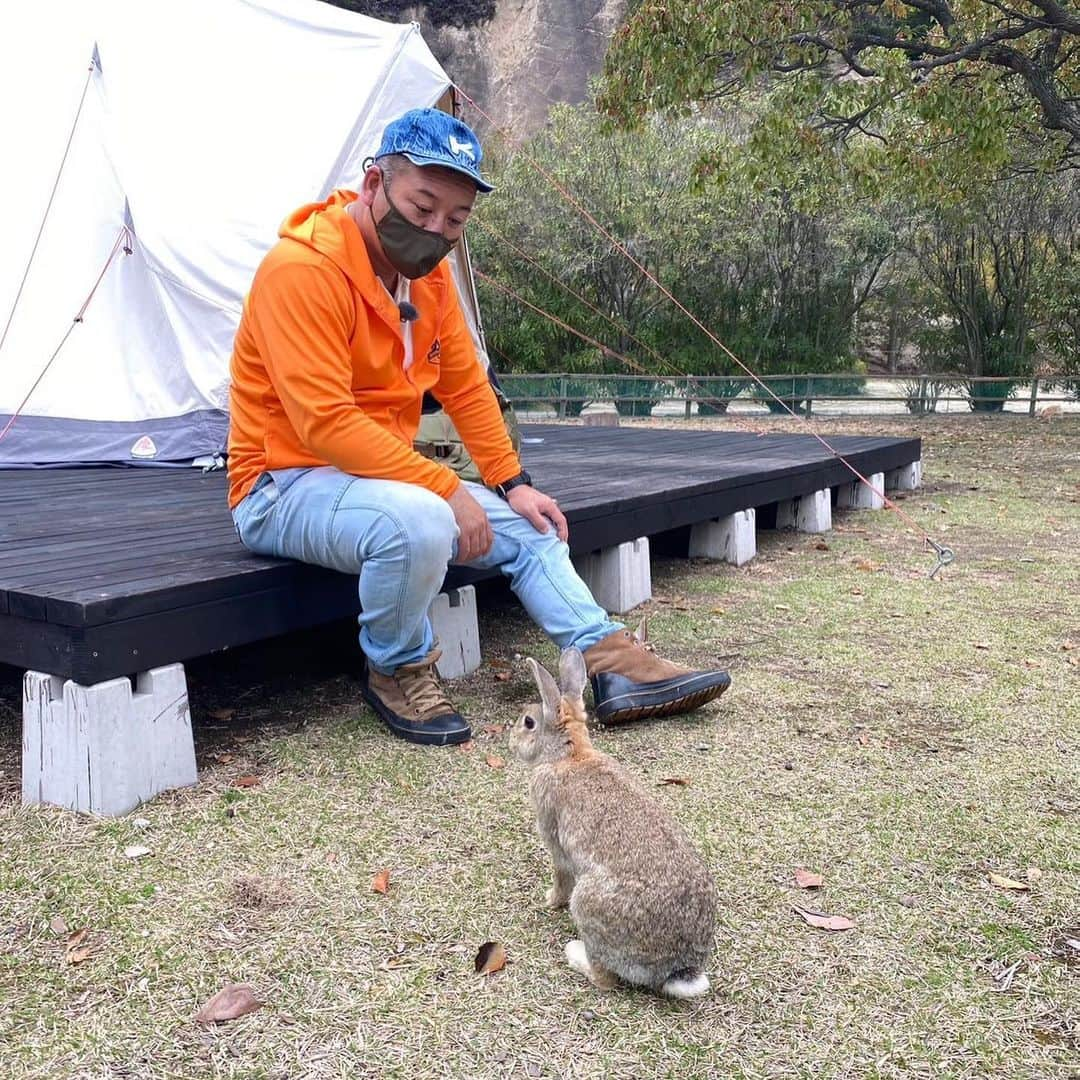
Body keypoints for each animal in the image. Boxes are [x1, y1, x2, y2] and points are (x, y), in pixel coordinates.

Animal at [507, 643, 717, 997]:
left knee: (605, 978)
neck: (569, 755)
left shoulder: (554, 840)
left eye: (528, 722)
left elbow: (560, 876)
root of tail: (673, 967)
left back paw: (574, 954)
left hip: (587, 904)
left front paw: (549, 900)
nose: (510, 741)